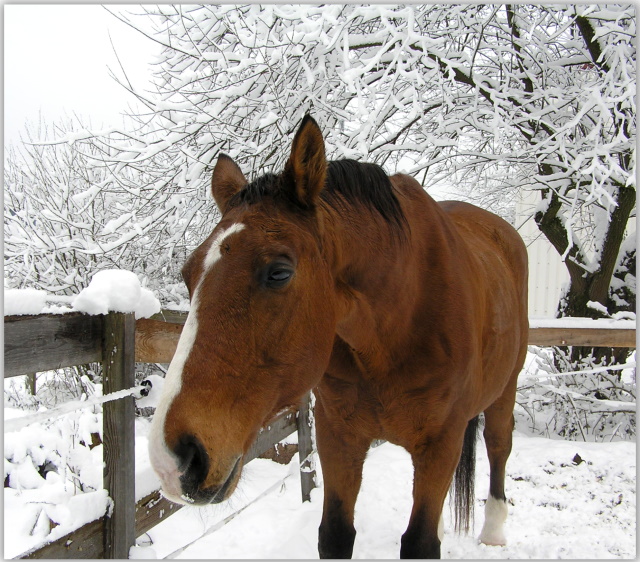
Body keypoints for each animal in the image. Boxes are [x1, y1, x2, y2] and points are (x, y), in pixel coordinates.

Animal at [148, 115, 528, 556]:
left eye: (279, 272)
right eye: (187, 274)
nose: (173, 459)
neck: (395, 327)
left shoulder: (440, 444)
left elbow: (419, 542)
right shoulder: (338, 437)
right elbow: (335, 533)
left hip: (505, 389)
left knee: (499, 444)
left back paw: (494, 530)